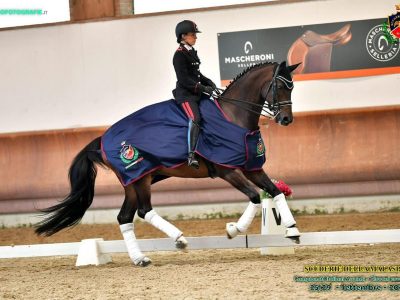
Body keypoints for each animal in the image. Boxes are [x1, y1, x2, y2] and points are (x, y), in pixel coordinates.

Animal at [35, 59, 300, 266]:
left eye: (292, 87)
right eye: (279, 86)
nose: (286, 119)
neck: (233, 117)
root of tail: (102, 139)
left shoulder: (252, 168)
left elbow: (275, 192)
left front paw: (293, 230)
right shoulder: (227, 171)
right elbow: (255, 197)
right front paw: (234, 230)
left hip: (133, 182)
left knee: (125, 217)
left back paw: (140, 259)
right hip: (139, 178)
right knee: (144, 210)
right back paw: (179, 239)